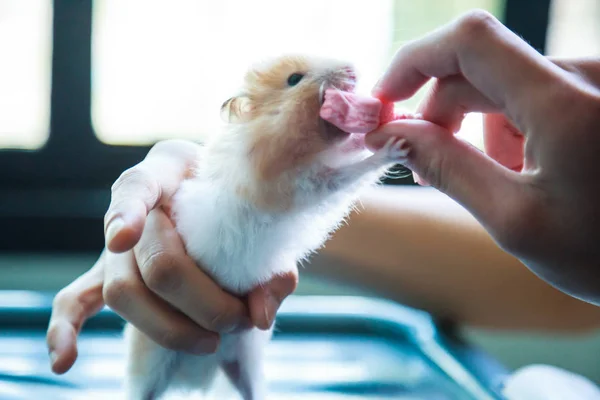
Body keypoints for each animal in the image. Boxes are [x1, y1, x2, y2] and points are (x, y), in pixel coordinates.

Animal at [123, 54, 410, 400]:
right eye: (294, 79)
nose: (352, 69)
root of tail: (196, 376)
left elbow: (351, 153)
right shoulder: (307, 186)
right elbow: (353, 173)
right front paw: (396, 146)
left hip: (244, 364)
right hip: (151, 367)